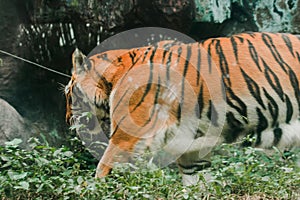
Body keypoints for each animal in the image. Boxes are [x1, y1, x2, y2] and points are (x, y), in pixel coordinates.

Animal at [65, 32, 300, 185]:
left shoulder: (127, 136)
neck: (113, 77)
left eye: (68, 94)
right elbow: (196, 181)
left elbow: (103, 170)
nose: (67, 120)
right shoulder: (190, 149)